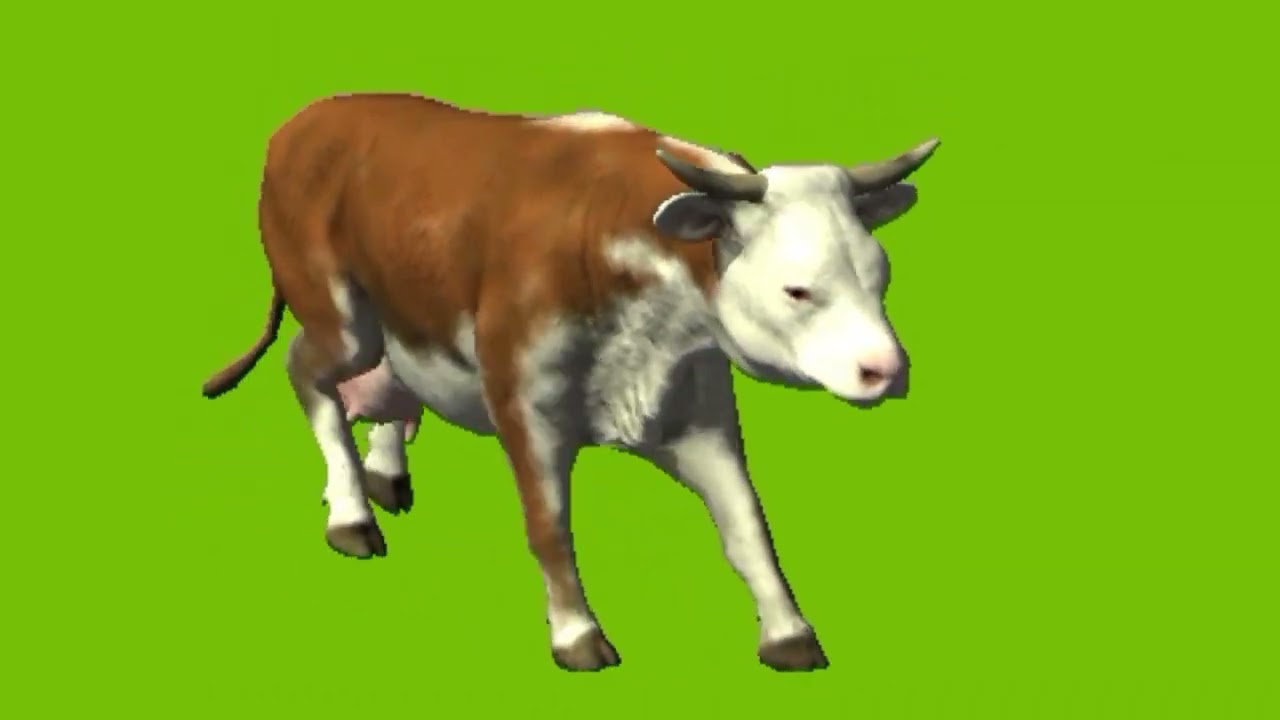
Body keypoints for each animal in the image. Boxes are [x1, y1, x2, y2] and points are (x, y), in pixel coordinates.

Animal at [201, 94, 939, 672]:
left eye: (880, 275)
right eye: (797, 289)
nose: (888, 369)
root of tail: (308, 118)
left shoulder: (697, 409)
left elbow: (747, 523)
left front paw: (789, 632)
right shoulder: (524, 403)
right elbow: (549, 523)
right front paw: (577, 635)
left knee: (391, 393)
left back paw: (384, 475)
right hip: (342, 319)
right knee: (307, 374)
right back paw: (352, 513)